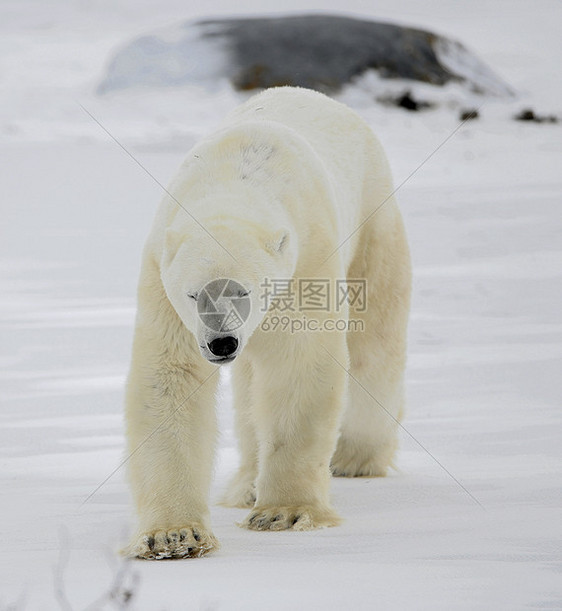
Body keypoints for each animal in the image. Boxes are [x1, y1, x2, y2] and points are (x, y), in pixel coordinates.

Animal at [122, 86, 410, 560]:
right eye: (194, 295)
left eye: (245, 292)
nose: (221, 343)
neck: (233, 178)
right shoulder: (159, 276)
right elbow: (169, 376)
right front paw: (173, 536)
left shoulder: (305, 260)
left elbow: (299, 366)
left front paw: (285, 513)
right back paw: (246, 485)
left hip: (375, 220)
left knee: (376, 339)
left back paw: (354, 458)